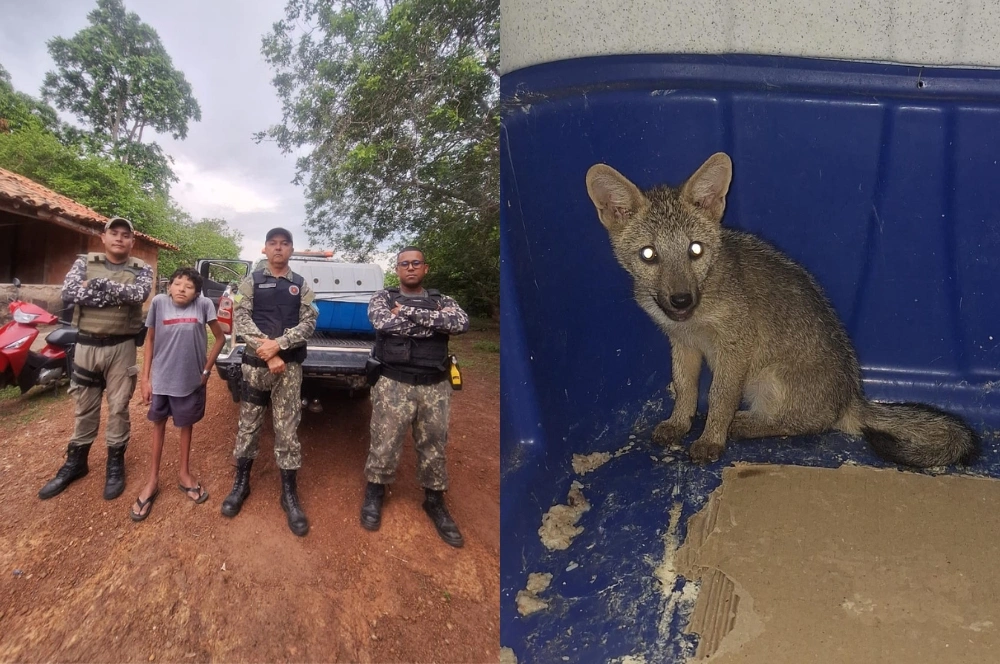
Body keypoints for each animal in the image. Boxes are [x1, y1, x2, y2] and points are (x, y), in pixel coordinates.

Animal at [584, 153, 979, 468]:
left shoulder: (735, 349)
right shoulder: (683, 344)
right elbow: (685, 388)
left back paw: (745, 424)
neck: (696, 318)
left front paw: (711, 439)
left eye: (695, 249)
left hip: (767, 380)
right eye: (648, 254)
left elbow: (719, 397)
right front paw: (679, 425)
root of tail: (851, 397)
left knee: (802, 424)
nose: (681, 301)